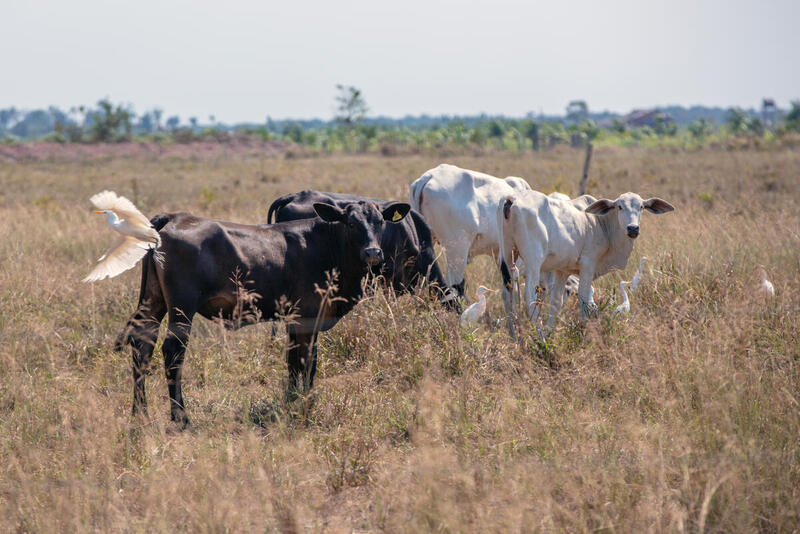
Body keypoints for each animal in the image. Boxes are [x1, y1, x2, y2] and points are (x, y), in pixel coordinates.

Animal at [114, 200, 411, 427]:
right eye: (351, 223)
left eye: (380, 222)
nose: (373, 252)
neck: (327, 247)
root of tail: (176, 216)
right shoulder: (308, 315)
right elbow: (306, 361)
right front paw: (304, 406)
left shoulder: (296, 319)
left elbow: (295, 362)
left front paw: (294, 401)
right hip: (182, 307)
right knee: (173, 352)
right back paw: (181, 418)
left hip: (153, 300)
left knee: (142, 345)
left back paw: (140, 414)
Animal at [497, 191, 674, 336]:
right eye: (619, 206)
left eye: (642, 207)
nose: (633, 228)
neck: (601, 224)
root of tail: (512, 199)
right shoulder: (588, 265)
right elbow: (584, 302)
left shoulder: (562, 270)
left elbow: (555, 303)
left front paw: (551, 335)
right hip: (533, 262)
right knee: (530, 298)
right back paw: (539, 337)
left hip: (507, 256)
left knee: (507, 294)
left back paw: (515, 337)